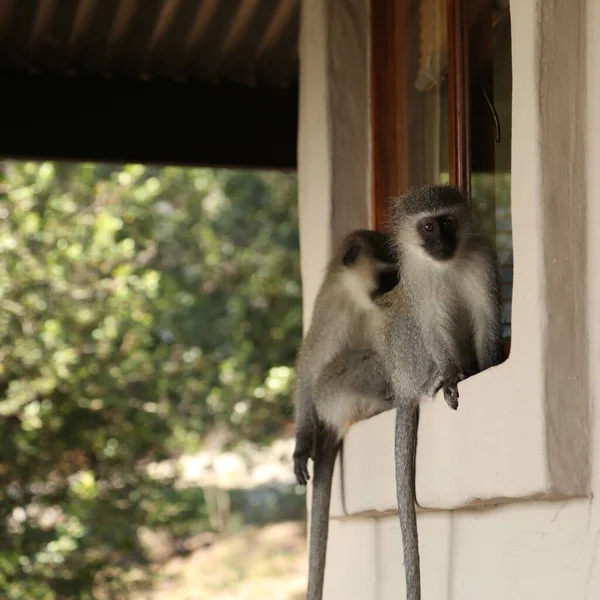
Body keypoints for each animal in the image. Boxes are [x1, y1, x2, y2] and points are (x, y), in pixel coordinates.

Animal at [292, 229, 396, 600]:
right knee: (326, 378)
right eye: (386, 277)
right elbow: (309, 370)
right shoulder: (328, 307)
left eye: (399, 275)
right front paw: (300, 445)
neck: (358, 299)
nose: (393, 292)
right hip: (335, 404)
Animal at [378, 185, 504, 596]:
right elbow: (431, 324)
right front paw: (449, 375)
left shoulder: (481, 259)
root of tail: (401, 387)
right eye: (428, 227)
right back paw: (437, 377)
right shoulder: (416, 278)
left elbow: (486, 317)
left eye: (447, 223)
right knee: (407, 320)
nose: (442, 243)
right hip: (408, 360)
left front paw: (488, 365)